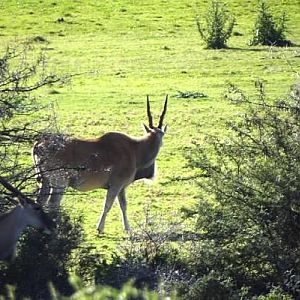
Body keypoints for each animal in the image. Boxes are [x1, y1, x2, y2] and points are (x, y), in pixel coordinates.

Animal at [32, 96, 169, 234]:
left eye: (161, 134)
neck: (135, 149)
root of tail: (39, 144)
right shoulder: (115, 185)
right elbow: (107, 205)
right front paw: (100, 228)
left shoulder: (121, 188)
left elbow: (123, 206)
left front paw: (127, 228)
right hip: (60, 183)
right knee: (53, 203)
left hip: (44, 181)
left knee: (40, 201)